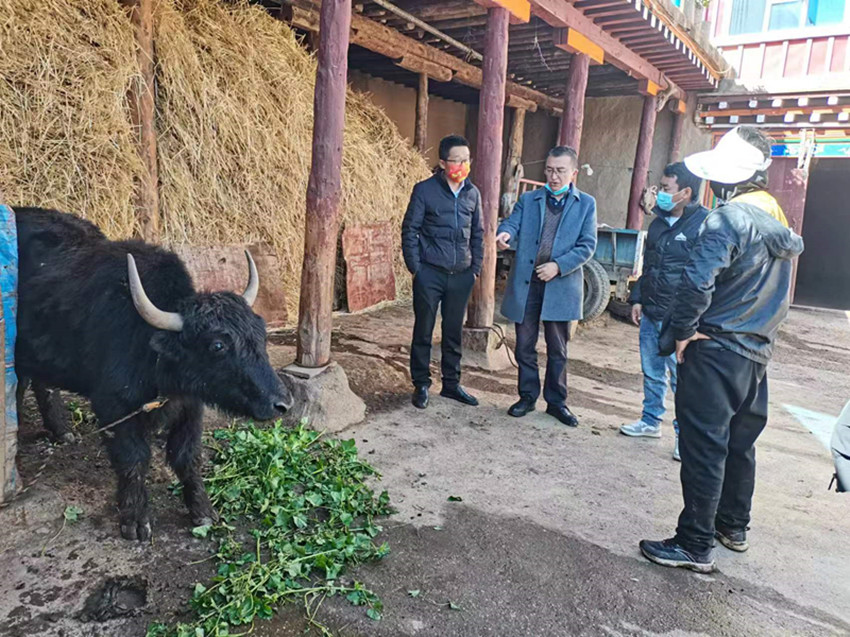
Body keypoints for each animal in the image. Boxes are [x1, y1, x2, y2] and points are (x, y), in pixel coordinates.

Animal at [13, 206, 293, 540]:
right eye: (217, 345)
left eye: (261, 336)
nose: (282, 403)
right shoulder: (115, 408)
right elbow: (134, 459)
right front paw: (135, 521)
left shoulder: (190, 406)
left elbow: (187, 456)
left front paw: (203, 511)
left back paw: (62, 431)